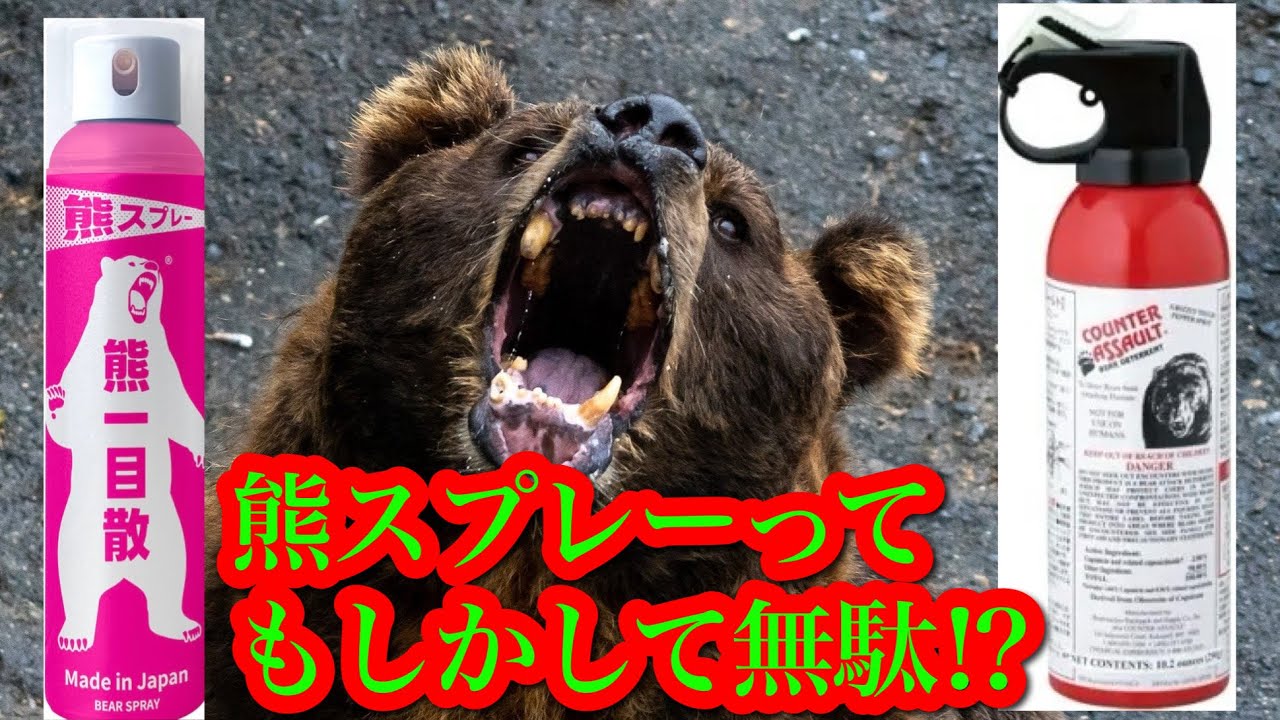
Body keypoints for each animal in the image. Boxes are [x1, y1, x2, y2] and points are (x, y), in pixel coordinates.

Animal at [46, 254, 204, 651]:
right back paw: (74, 636)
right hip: (78, 540)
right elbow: (71, 428)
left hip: (169, 539)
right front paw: (55, 399)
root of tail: (124, 571)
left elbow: (180, 409)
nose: (152, 265)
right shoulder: (83, 363)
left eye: (149, 263)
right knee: (76, 587)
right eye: (132, 262)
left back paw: (182, 627)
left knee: (170, 584)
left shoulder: (165, 364)